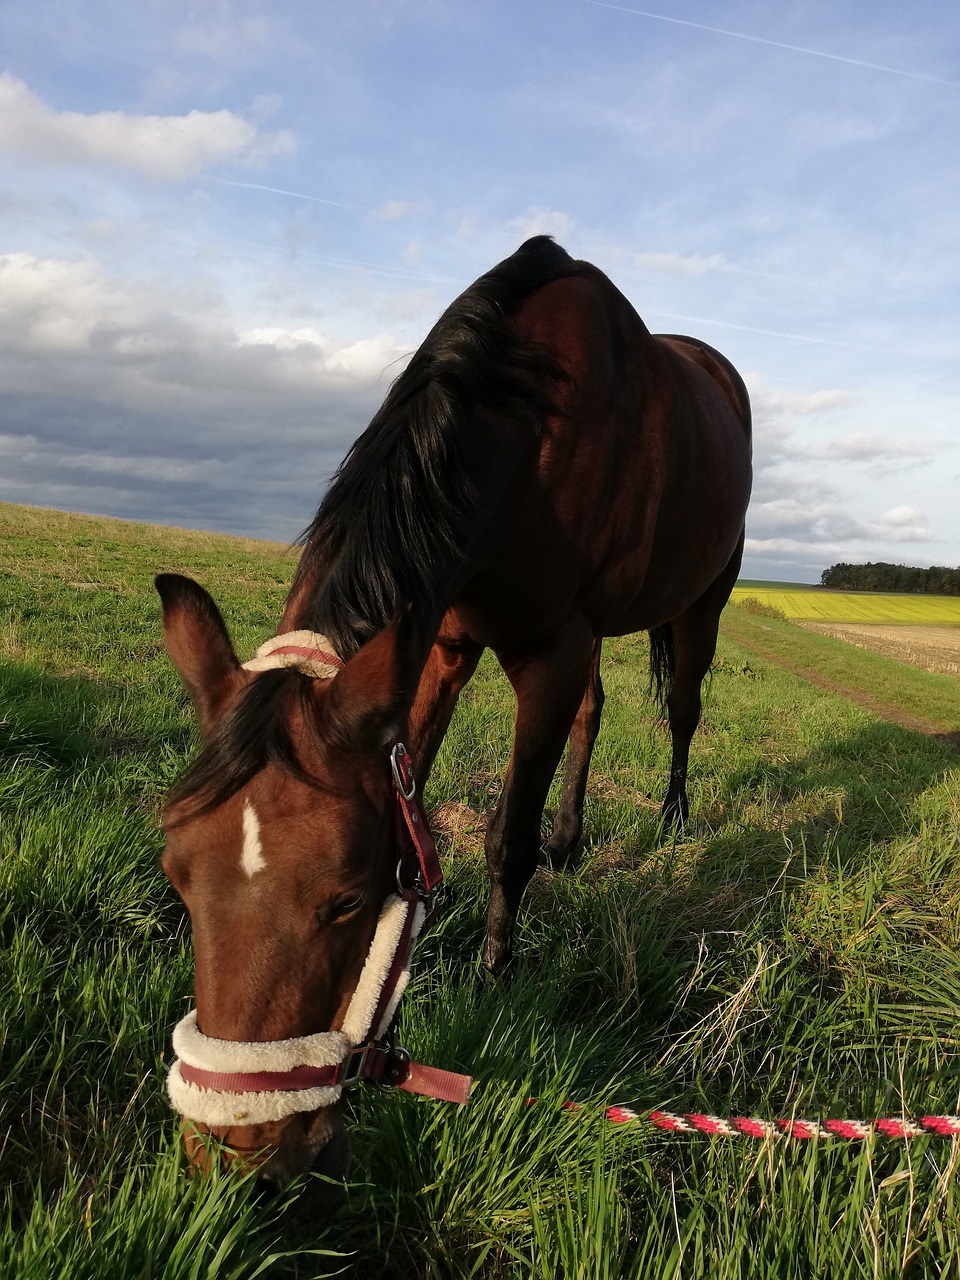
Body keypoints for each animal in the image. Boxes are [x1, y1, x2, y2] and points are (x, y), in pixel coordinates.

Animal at [158, 235, 757, 1182]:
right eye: (177, 880)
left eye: (346, 901)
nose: (237, 1151)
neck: (524, 434)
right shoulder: (438, 644)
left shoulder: (548, 652)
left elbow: (506, 835)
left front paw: (494, 977)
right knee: (595, 712)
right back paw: (571, 840)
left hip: (703, 604)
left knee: (685, 710)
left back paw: (670, 816)